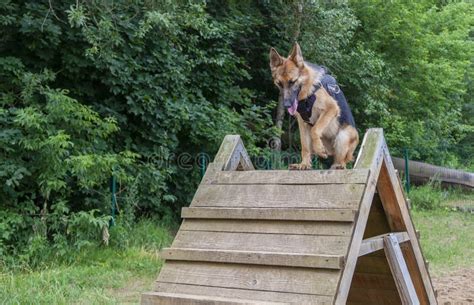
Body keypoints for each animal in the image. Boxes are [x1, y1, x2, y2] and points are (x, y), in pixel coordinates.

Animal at [270, 42, 360, 170]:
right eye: (279, 84)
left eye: (292, 82)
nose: (286, 105)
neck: (307, 93)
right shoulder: (302, 122)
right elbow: (304, 146)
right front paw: (304, 164)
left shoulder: (331, 109)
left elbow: (315, 129)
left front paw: (319, 149)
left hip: (344, 135)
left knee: (342, 161)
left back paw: (338, 165)